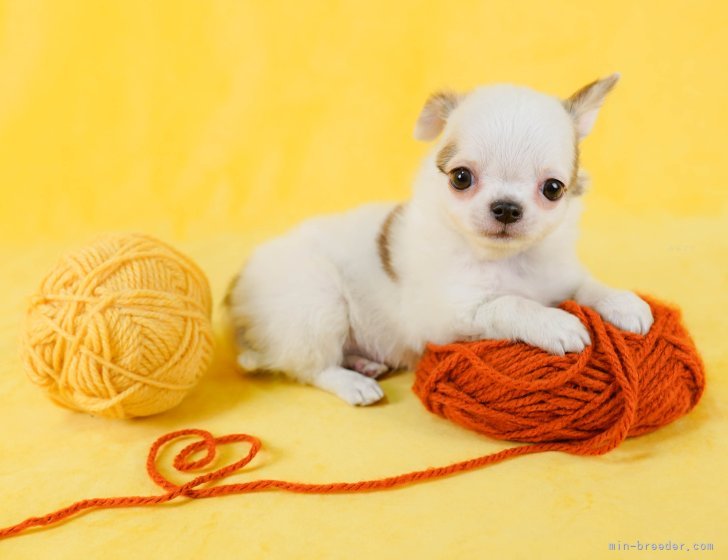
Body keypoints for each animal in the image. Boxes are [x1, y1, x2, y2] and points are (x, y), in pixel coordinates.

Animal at [228, 75, 656, 406]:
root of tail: (238, 292)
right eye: (461, 178)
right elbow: (509, 302)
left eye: (553, 189)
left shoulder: (559, 276)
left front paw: (623, 302)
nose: (506, 208)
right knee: (311, 367)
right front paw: (554, 322)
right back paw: (352, 382)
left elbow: (588, 286)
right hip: (316, 304)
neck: (506, 259)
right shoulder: (446, 317)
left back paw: (363, 362)